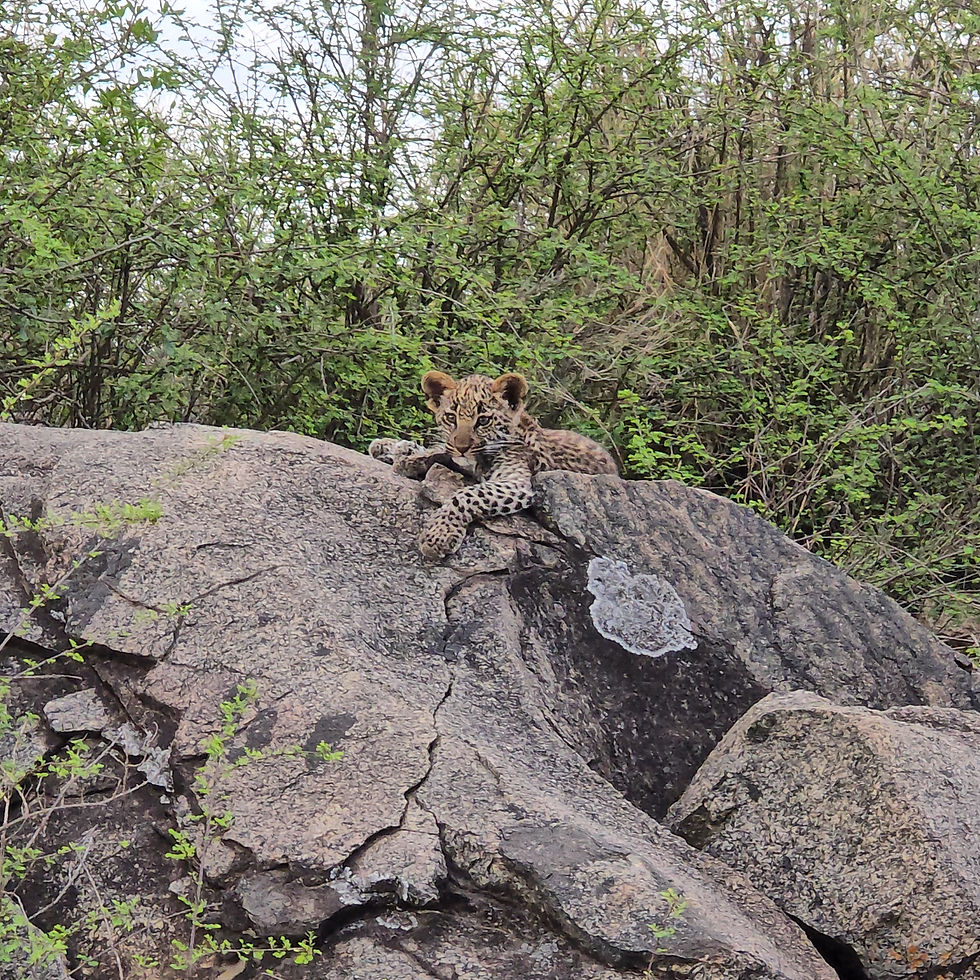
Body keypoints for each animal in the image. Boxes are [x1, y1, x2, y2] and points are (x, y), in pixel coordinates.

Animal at [370, 370, 618, 560]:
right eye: (451, 418)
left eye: (483, 420)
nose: (461, 447)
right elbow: (438, 451)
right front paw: (398, 451)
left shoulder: (517, 483)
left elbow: (467, 494)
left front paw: (439, 535)